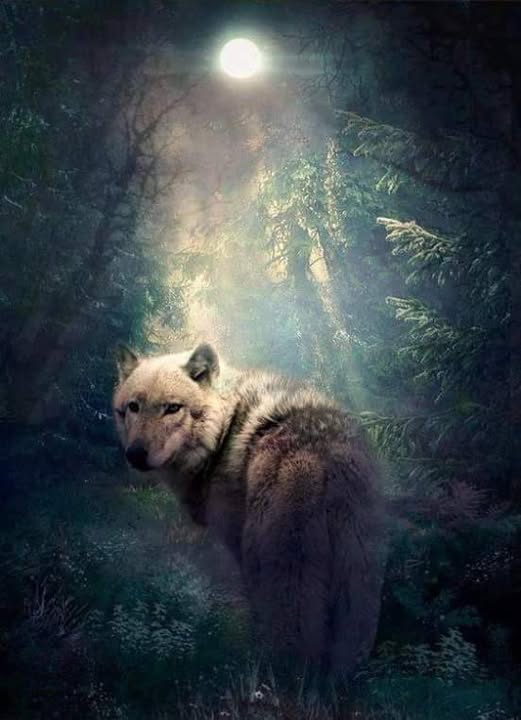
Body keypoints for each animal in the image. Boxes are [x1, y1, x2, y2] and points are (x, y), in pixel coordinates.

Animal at [113, 342, 385, 676]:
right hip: (359, 581)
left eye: (172, 408)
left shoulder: (236, 544)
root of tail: (325, 453)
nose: (135, 454)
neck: (224, 431)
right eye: (133, 407)